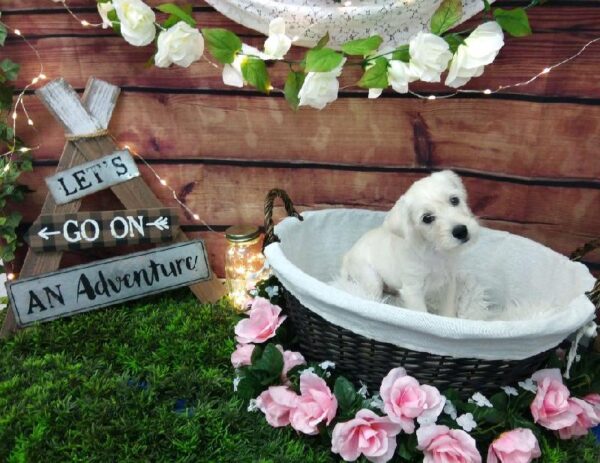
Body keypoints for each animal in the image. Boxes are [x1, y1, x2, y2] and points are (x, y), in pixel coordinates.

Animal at [340, 171, 480, 320]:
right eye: (427, 218)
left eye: (454, 200)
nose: (461, 231)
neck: (433, 250)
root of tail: (348, 255)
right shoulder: (413, 290)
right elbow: (421, 313)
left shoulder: (448, 284)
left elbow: (447, 311)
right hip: (371, 280)